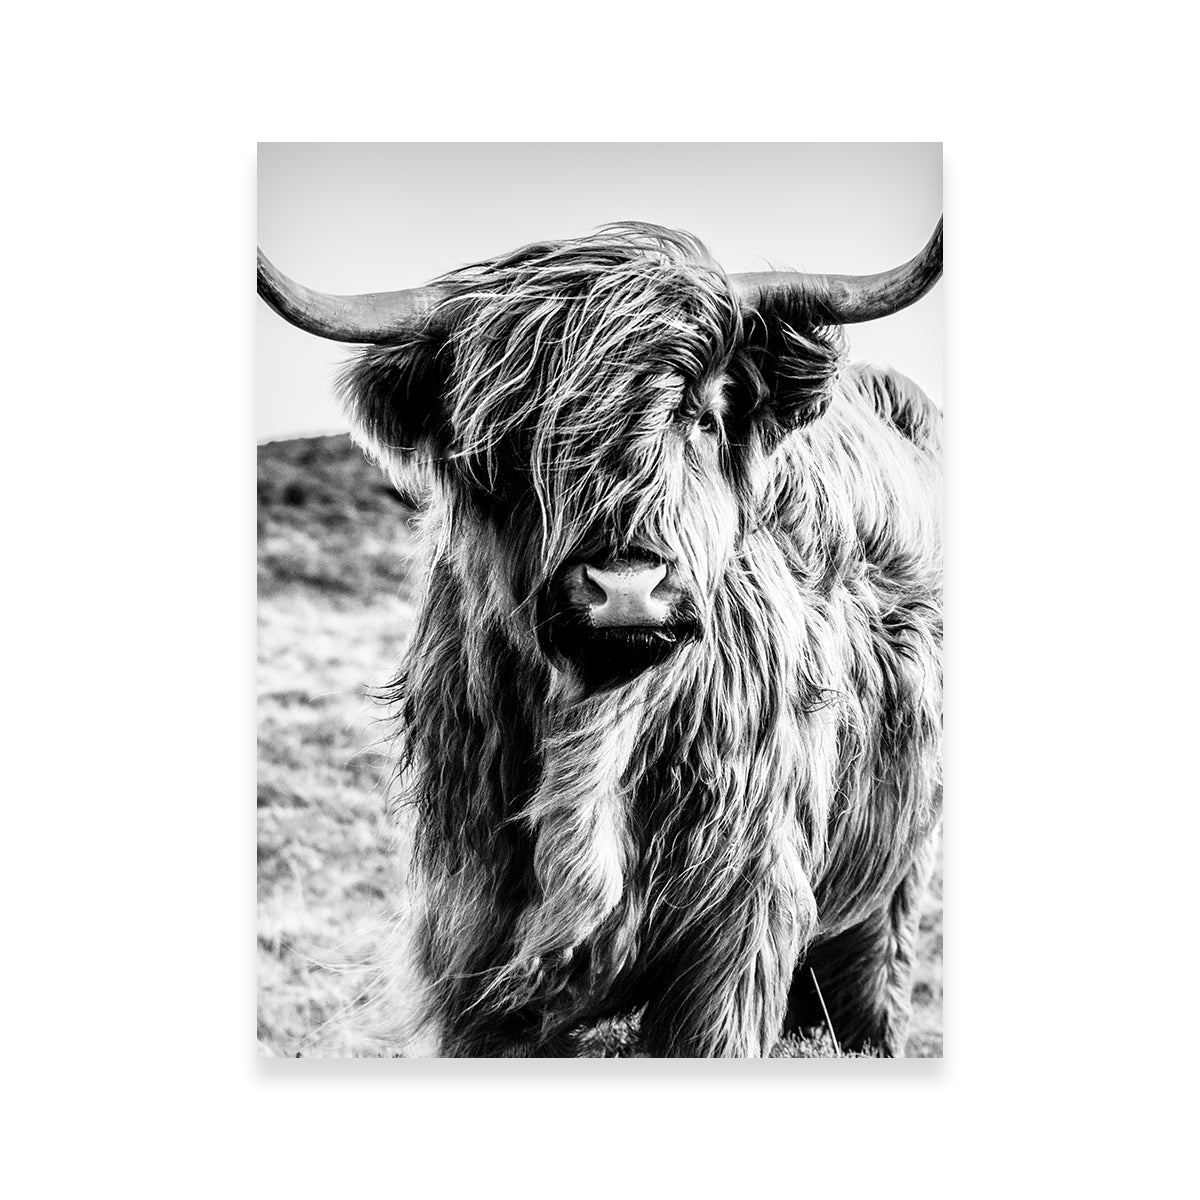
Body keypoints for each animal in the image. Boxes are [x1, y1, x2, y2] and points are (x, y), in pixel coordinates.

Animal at [258, 216, 944, 1057]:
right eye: (514, 438)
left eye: (700, 416)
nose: (626, 588)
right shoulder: (474, 940)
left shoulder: (738, 927)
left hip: (895, 881)